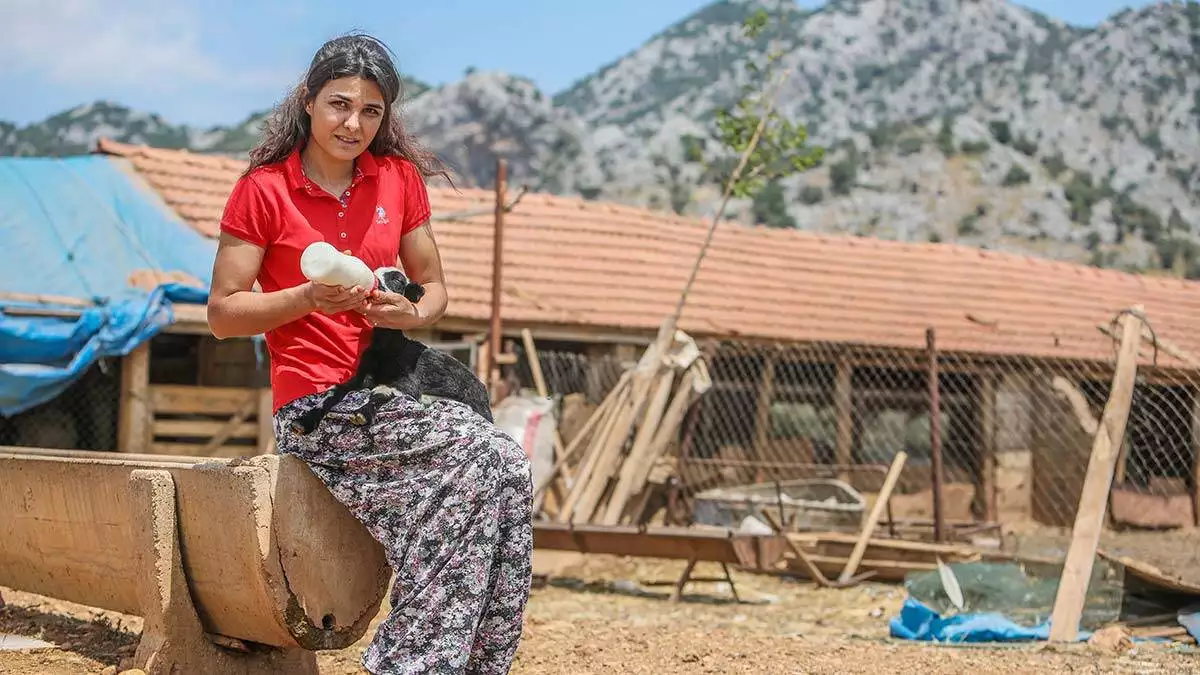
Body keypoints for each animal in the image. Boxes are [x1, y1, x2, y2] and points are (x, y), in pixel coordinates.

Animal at [289, 265, 492, 432]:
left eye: (398, 280)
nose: (375, 284)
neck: (386, 348)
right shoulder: (360, 377)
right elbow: (334, 392)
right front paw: (304, 421)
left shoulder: (406, 382)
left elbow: (380, 391)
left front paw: (362, 413)